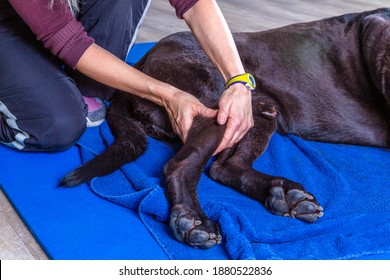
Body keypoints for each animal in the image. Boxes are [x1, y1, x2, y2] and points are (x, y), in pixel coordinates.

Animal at [61, 8, 390, 249]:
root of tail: (140, 62)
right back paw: (191, 218)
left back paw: (282, 193)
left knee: (225, 167)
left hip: (257, 113)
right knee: (181, 166)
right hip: (217, 108)